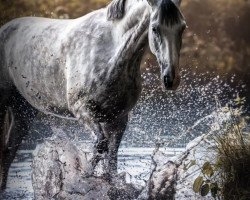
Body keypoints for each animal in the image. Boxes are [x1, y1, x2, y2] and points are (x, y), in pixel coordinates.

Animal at [0, 0, 186, 189]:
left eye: (182, 27)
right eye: (155, 28)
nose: (171, 79)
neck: (110, 52)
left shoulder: (117, 118)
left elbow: (111, 159)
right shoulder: (83, 111)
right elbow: (100, 146)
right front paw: (81, 182)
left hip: (24, 111)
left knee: (8, 150)